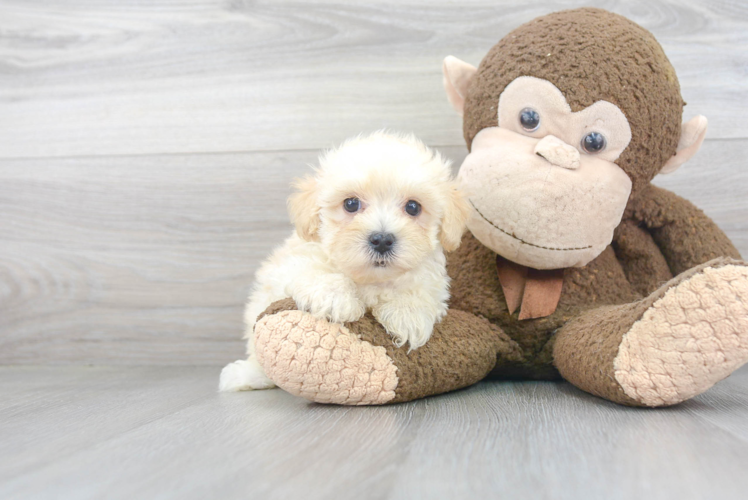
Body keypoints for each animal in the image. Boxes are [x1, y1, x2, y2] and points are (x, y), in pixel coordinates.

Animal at [219, 131, 470, 392]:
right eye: (351, 204)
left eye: (413, 207)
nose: (382, 240)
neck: (370, 279)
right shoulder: (292, 263)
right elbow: (314, 270)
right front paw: (336, 300)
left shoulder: (432, 281)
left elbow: (419, 290)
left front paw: (408, 315)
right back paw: (243, 375)